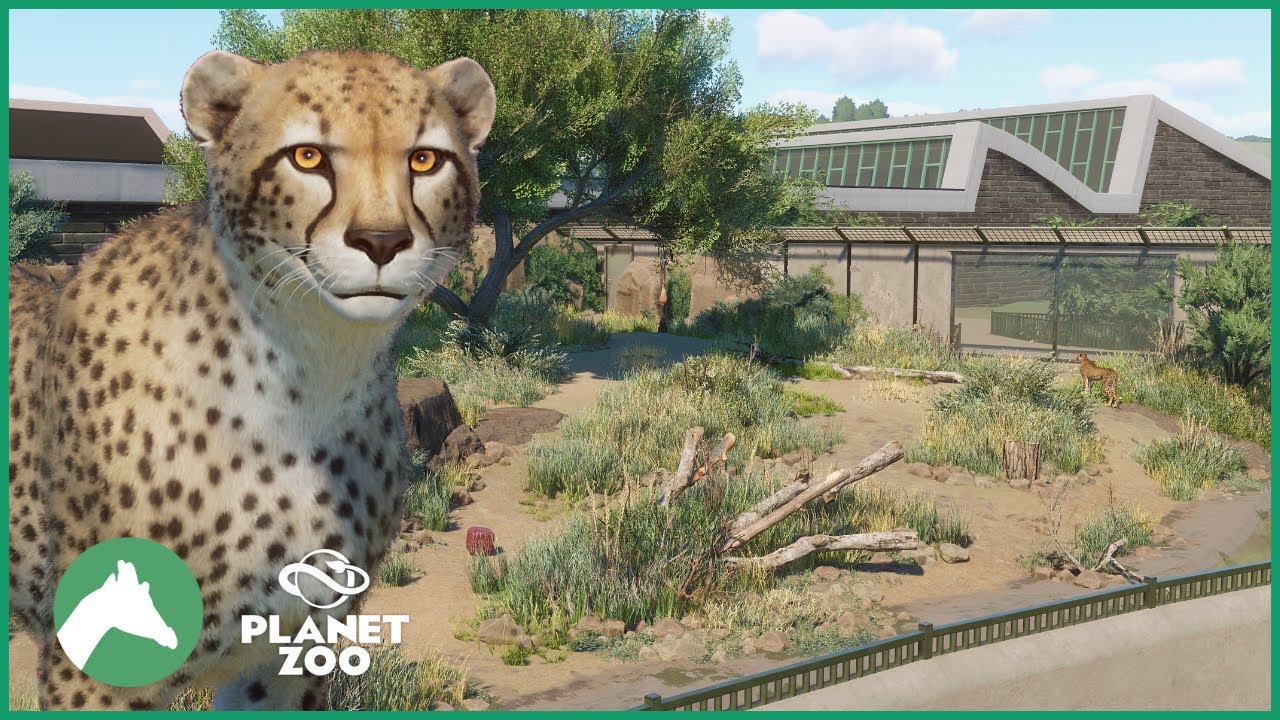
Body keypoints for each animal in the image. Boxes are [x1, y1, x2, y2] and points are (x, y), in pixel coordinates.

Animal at [8, 49, 494, 710]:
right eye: (307, 156)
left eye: (426, 159)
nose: (382, 241)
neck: (305, 377)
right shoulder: (90, 674)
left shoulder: (292, 653)